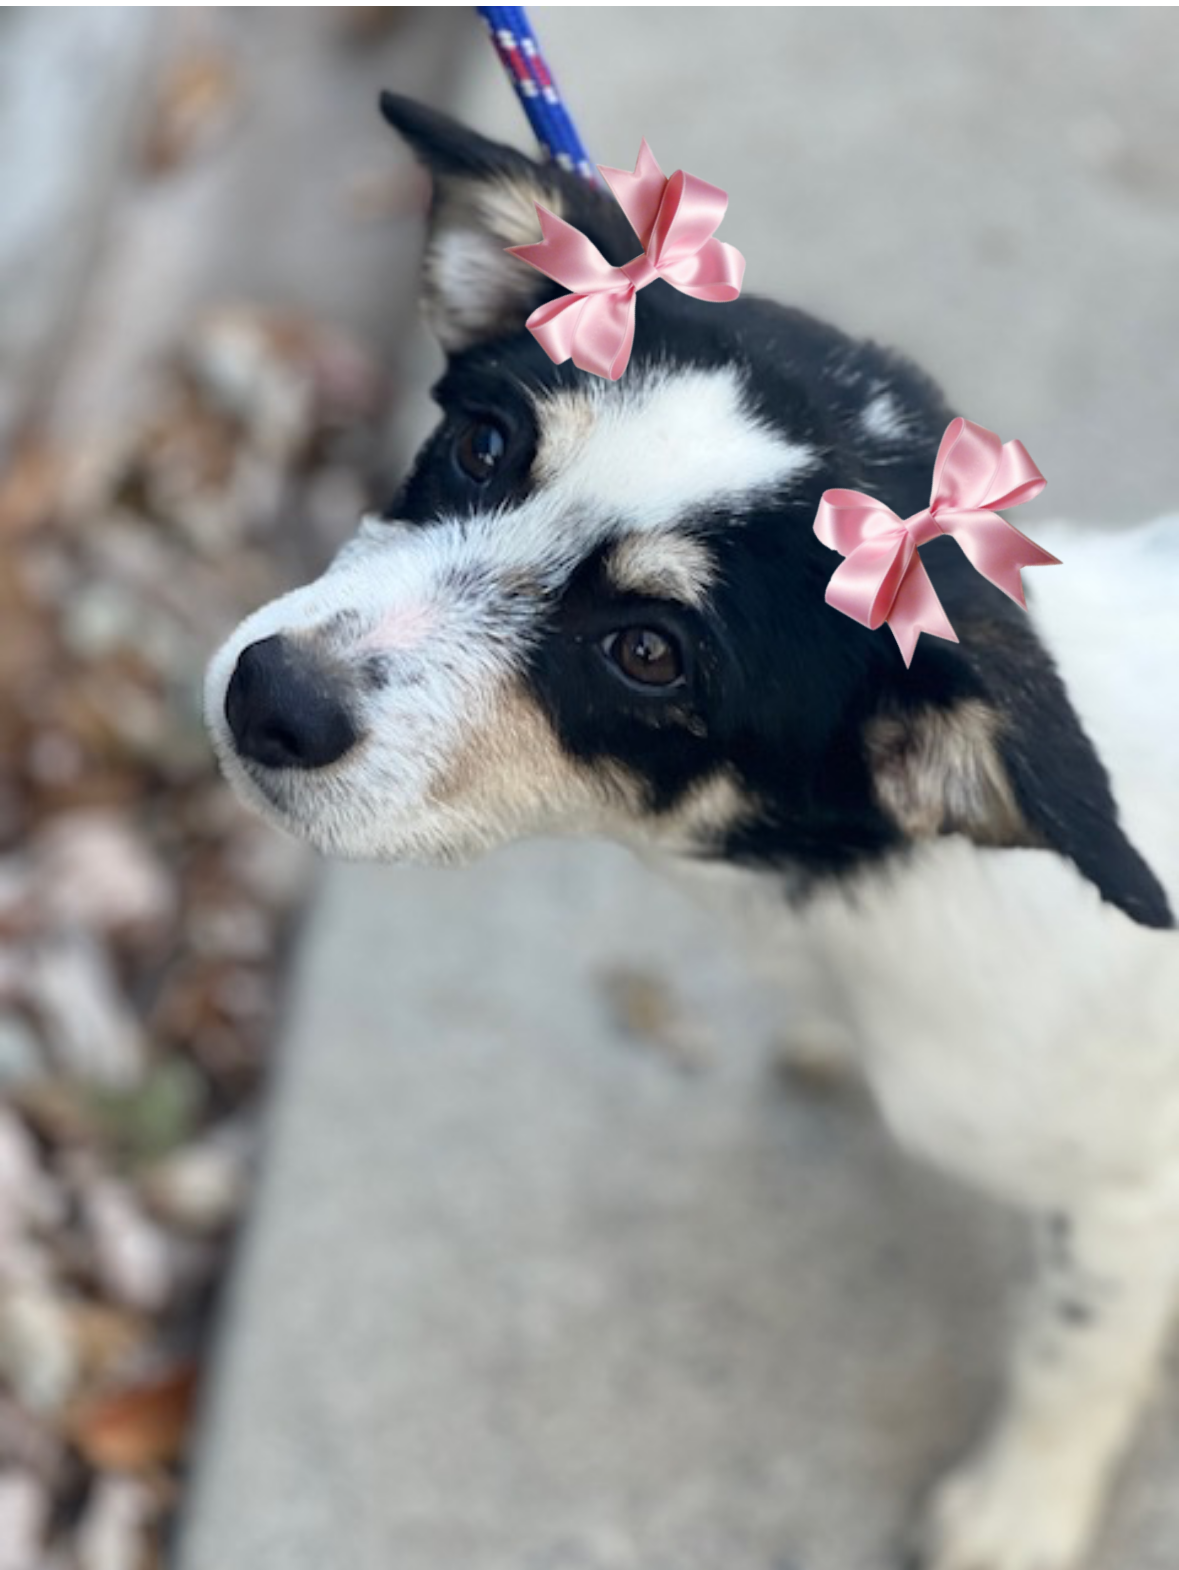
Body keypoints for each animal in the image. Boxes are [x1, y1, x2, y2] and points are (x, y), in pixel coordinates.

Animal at [205, 101, 1179, 1570]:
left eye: (651, 652)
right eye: (482, 443)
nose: (268, 698)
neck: (871, 893)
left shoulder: (1129, 1201)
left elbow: (1073, 1353)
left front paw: (1017, 1511)